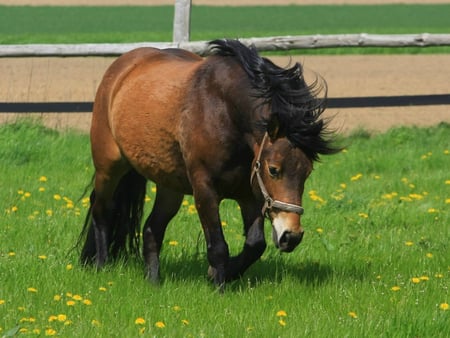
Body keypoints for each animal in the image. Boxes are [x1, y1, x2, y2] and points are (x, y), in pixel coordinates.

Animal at [78, 38, 338, 290]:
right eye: (273, 170)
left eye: (307, 172)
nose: (291, 236)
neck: (225, 111)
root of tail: (121, 68)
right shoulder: (205, 190)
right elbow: (218, 246)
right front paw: (218, 285)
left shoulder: (250, 194)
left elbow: (255, 244)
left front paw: (221, 273)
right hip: (109, 167)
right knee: (102, 209)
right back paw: (101, 265)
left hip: (170, 186)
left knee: (152, 229)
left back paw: (153, 281)